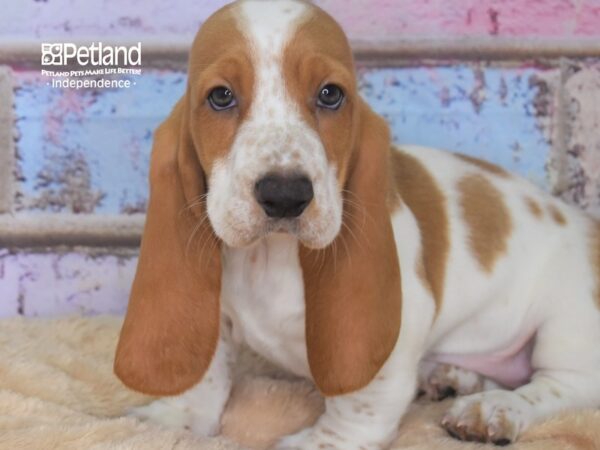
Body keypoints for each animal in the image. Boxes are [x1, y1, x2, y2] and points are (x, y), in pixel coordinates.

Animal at [115, 1, 600, 448]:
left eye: (331, 94)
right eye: (220, 96)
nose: (285, 195)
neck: (271, 258)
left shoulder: (394, 338)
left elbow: (360, 405)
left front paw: (319, 442)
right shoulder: (213, 314)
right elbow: (205, 373)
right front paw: (172, 422)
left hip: (568, 324)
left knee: (558, 385)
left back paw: (492, 408)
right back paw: (453, 376)